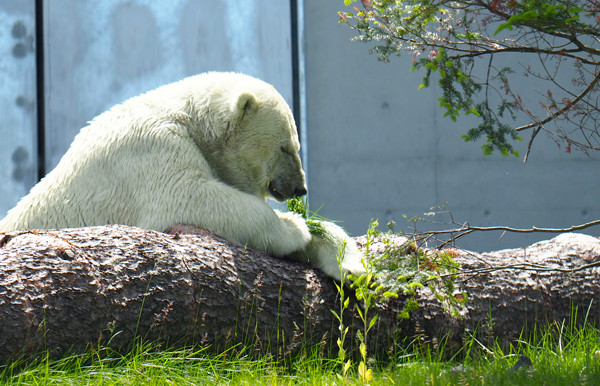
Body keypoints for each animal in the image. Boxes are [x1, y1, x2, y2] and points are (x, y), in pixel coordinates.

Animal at [0, 71, 364, 278]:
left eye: (296, 145)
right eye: (286, 147)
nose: (300, 188)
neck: (192, 118)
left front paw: (349, 265)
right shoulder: (151, 147)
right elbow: (186, 195)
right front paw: (294, 226)